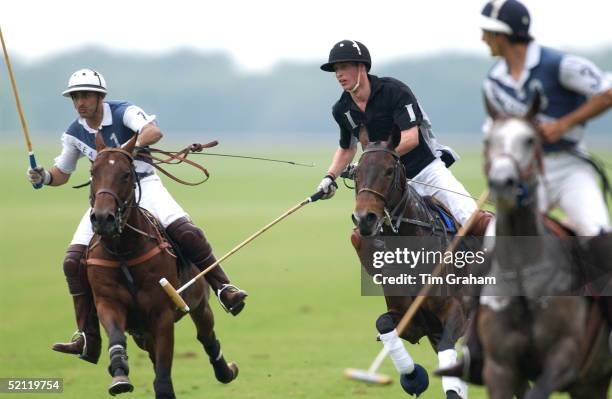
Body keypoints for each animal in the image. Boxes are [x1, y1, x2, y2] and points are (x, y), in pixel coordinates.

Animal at [87, 133, 238, 398]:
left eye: (126, 174)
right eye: (93, 172)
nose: (103, 218)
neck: (124, 251)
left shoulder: (162, 314)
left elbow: (163, 375)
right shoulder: (107, 302)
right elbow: (116, 336)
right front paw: (119, 375)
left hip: (198, 303)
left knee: (206, 335)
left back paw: (225, 369)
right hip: (141, 332)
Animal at [350, 132, 482, 399]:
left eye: (389, 170)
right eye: (356, 172)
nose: (364, 219)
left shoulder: (456, 314)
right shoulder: (416, 324)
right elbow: (383, 323)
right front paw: (412, 377)